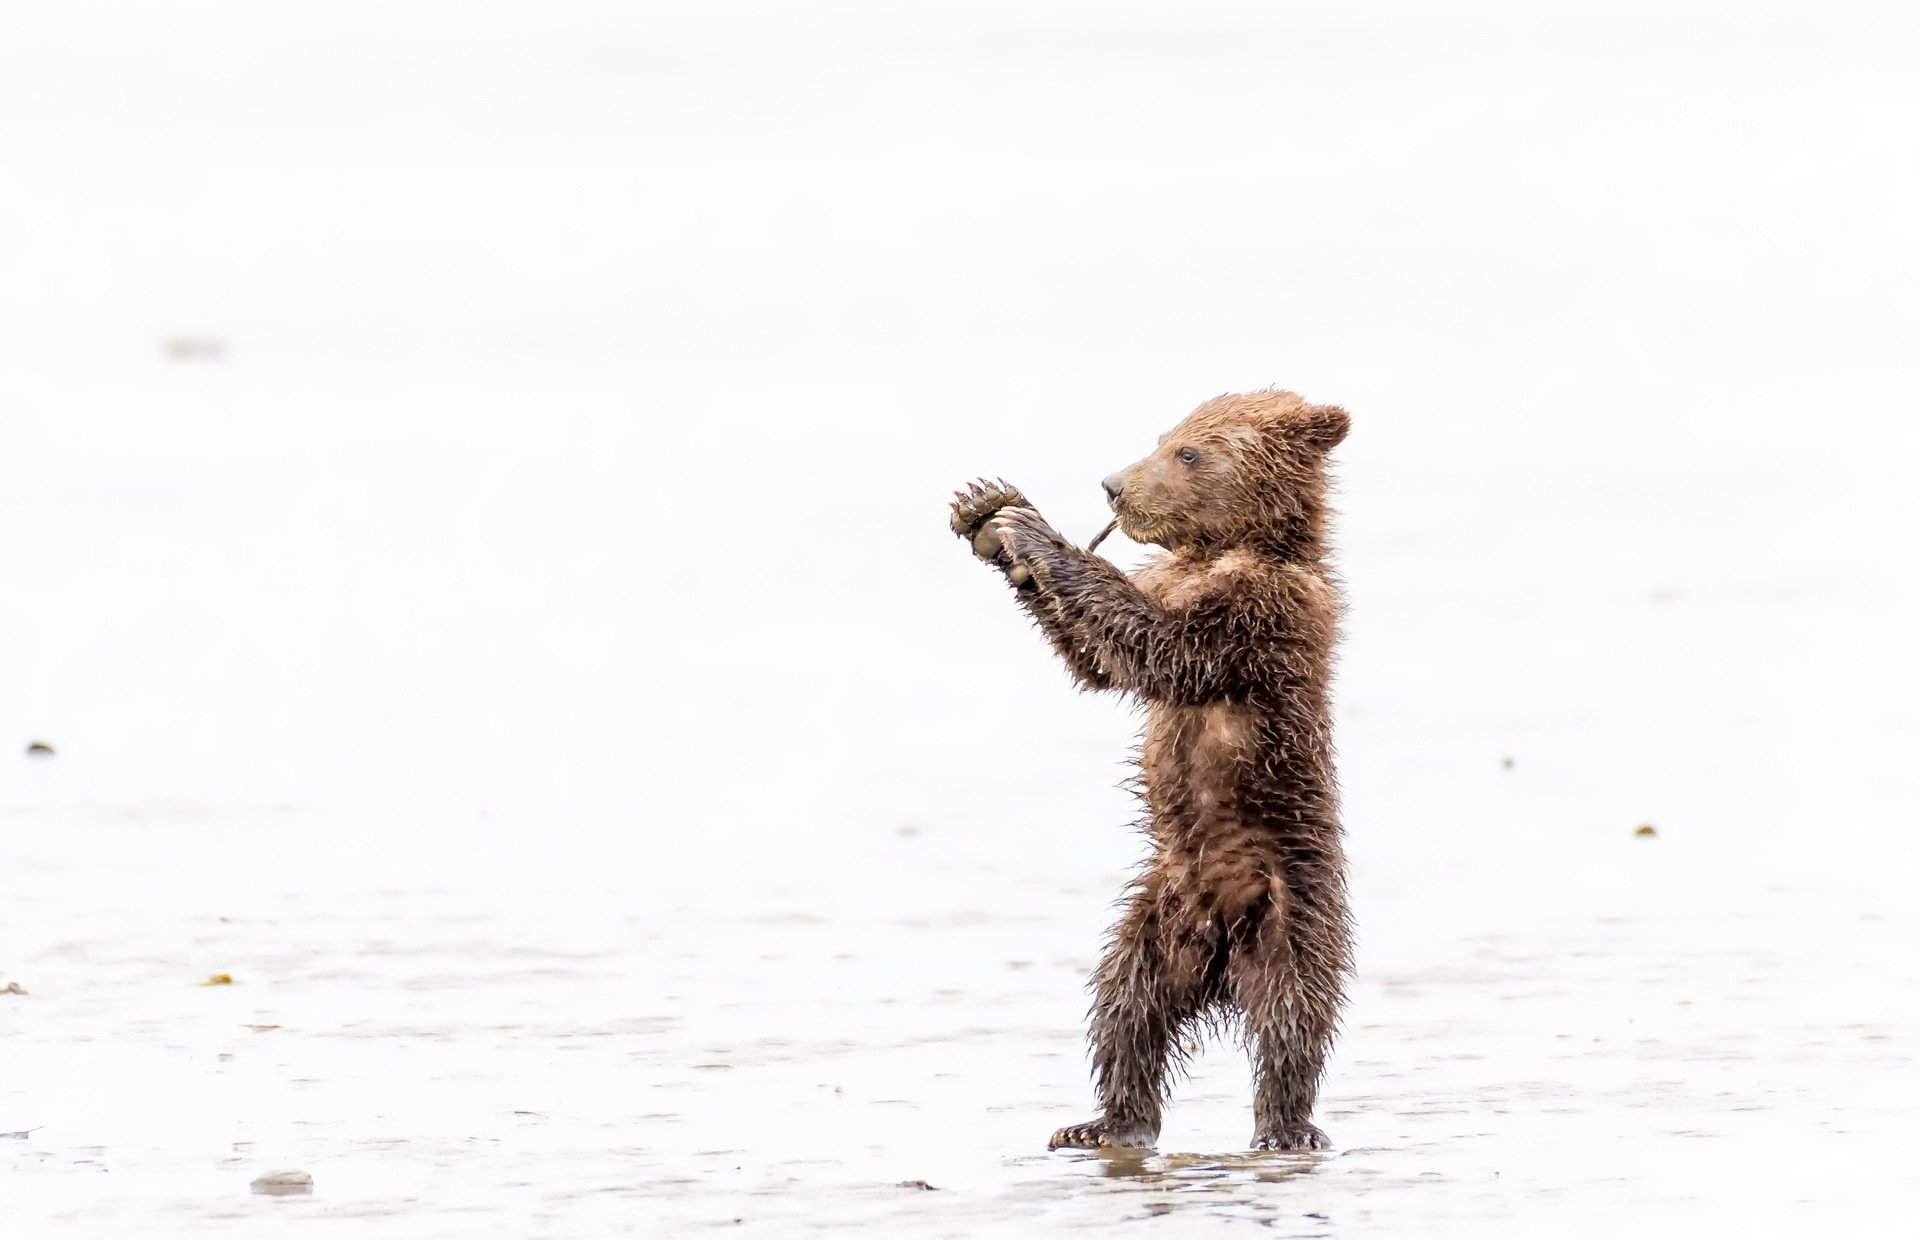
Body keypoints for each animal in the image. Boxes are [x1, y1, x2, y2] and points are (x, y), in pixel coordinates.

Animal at [948, 389, 1352, 1152]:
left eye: (1189, 452)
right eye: (1164, 437)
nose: (1113, 484)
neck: (1225, 549)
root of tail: (1220, 957)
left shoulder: (1260, 615)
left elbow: (1160, 645)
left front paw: (1031, 531)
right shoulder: (1169, 576)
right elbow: (1097, 661)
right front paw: (987, 512)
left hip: (1292, 901)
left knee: (1293, 1010)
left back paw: (1285, 1126)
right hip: (1155, 920)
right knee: (1125, 1006)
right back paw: (1104, 1123)